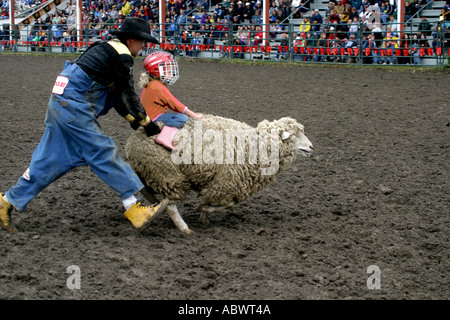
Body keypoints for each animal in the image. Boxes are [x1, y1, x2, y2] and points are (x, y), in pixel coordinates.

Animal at [124, 114, 312, 234]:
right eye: (294, 135)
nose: (311, 147)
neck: (256, 144)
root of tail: (131, 141)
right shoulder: (226, 183)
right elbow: (226, 204)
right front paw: (203, 210)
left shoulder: (221, 184)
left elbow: (219, 202)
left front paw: (204, 217)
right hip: (168, 174)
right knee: (171, 206)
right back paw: (184, 228)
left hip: (150, 171)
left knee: (144, 189)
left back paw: (154, 206)